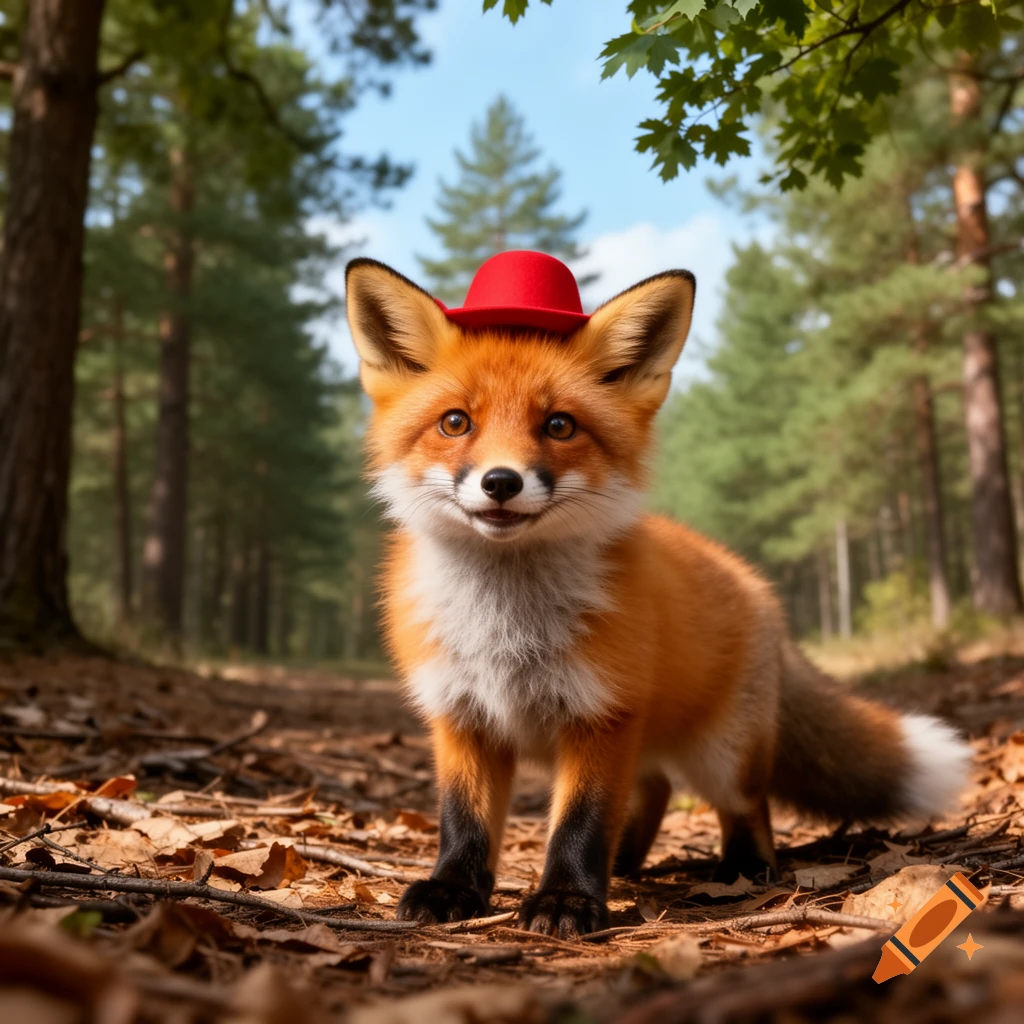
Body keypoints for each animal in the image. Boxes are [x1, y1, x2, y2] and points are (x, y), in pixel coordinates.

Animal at [344, 256, 972, 938]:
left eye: (559, 425)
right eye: (456, 422)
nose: (501, 482)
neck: (507, 632)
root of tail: (757, 587)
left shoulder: (601, 713)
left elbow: (581, 821)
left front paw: (567, 899)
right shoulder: (462, 716)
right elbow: (465, 821)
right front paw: (453, 890)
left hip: (723, 752)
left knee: (744, 805)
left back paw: (745, 867)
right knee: (655, 790)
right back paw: (625, 862)